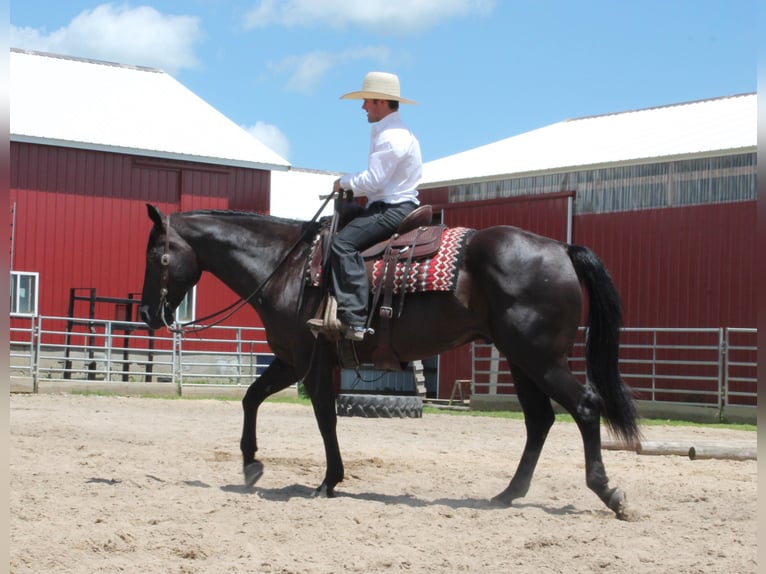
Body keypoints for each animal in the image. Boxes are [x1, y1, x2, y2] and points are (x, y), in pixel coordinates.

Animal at [140, 204, 640, 520]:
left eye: (157, 256)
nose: (146, 313)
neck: (288, 267)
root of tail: (561, 248)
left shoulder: (309, 361)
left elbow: (323, 417)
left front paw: (328, 481)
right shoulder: (290, 360)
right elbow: (251, 398)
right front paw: (251, 465)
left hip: (540, 357)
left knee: (585, 407)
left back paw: (609, 493)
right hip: (521, 360)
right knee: (539, 421)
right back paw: (506, 494)